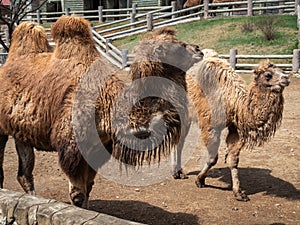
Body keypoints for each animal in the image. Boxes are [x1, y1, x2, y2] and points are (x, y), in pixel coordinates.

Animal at [0, 17, 202, 207]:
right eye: (172, 46)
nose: (198, 49)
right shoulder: (71, 149)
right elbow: (78, 196)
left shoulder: (98, 148)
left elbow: (88, 189)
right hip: (2, 131)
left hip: (21, 132)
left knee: (24, 174)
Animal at [189, 57, 290, 200]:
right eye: (268, 75)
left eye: (281, 69)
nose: (286, 78)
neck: (233, 102)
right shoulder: (210, 125)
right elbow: (213, 158)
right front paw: (199, 180)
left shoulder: (234, 129)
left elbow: (233, 160)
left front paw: (238, 192)